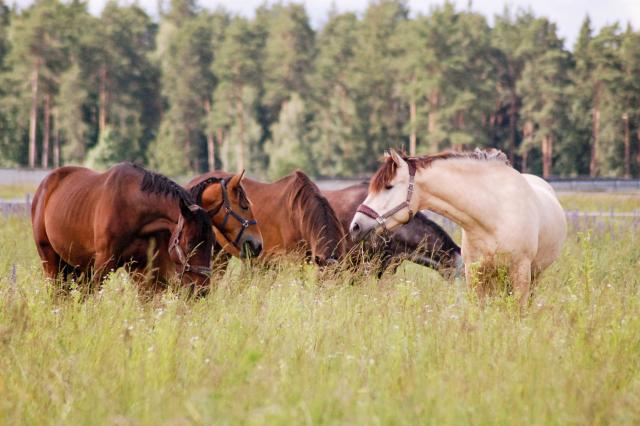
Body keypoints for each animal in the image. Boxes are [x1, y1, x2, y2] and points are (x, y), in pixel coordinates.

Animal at [31, 161, 216, 292]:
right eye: (190, 243)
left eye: (212, 244)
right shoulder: (104, 262)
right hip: (50, 262)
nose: (202, 289)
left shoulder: (142, 268)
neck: (132, 207)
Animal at [352, 150, 568, 306]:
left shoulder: (520, 273)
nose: (355, 226)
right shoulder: (474, 274)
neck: (494, 216)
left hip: (533, 275)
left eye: (388, 186)